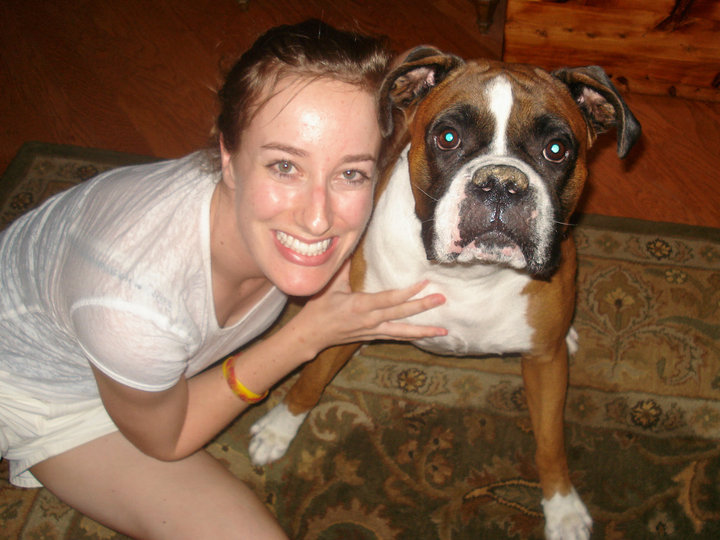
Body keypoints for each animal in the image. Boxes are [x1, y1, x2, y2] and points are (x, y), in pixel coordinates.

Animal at [249, 47, 641, 539]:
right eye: (448, 137)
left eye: (557, 149)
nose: (501, 183)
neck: (470, 276)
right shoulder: (344, 315)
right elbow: (311, 379)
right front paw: (278, 429)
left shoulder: (544, 366)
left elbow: (551, 442)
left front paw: (562, 507)